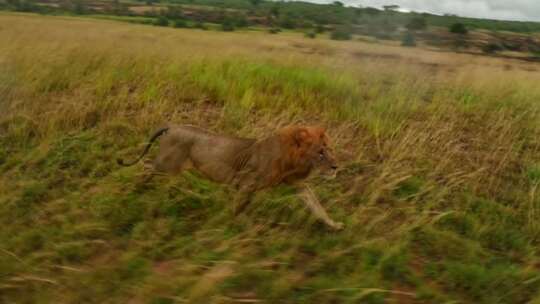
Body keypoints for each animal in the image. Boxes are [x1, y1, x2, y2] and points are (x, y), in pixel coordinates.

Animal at [117, 124, 344, 229]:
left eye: (330, 149)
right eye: (320, 152)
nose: (336, 167)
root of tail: (172, 126)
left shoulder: (297, 183)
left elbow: (315, 204)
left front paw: (334, 225)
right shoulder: (246, 182)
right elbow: (239, 208)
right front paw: (239, 226)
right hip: (167, 164)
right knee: (146, 165)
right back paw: (134, 189)